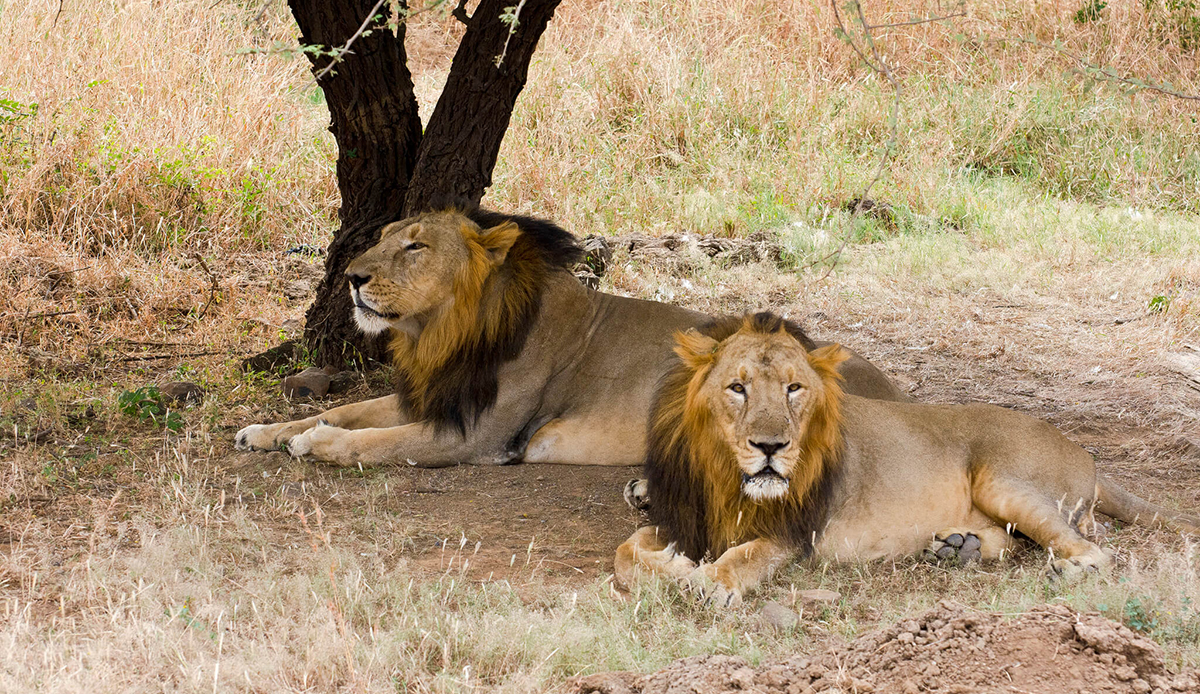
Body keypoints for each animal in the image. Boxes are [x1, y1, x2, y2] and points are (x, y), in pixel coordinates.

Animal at [236, 205, 907, 465]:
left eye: (416, 247)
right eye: (381, 238)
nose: (351, 277)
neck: (439, 333)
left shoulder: (479, 436)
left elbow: (373, 442)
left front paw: (316, 443)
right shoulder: (431, 398)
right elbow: (347, 410)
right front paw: (268, 430)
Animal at [619, 309, 1200, 602]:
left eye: (793, 389)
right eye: (737, 388)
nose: (770, 447)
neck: (724, 475)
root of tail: (1086, 454)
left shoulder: (796, 534)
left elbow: (741, 560)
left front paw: (705, 581)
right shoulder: (683, 517)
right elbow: (628, 555)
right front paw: (670, 561)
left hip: (1003, 478)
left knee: (1091, 550)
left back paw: (1062, 571)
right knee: (1018, 541)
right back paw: (957, 547)